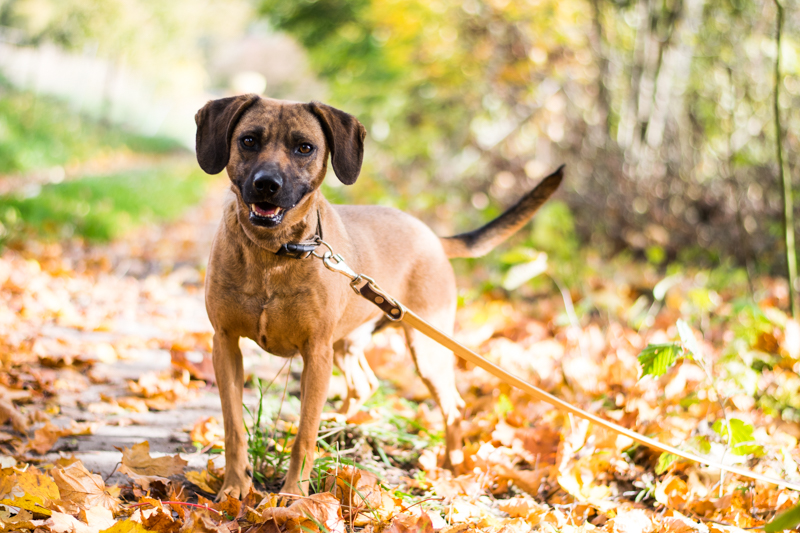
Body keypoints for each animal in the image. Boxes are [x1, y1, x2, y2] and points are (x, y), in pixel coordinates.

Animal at [194, 93, 564, 496]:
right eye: (248, 140)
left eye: (304, 147)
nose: (267, 185)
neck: (273, 253)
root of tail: (432, 236)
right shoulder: (225, 345)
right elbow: (233, 428)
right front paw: (234, 487)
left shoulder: (316, 352)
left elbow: (303, 437)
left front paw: (293, 495)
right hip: (346, 344)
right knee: (364, 384)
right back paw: (341, 427)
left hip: (425, 349)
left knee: (452, 404)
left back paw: (452, 466)